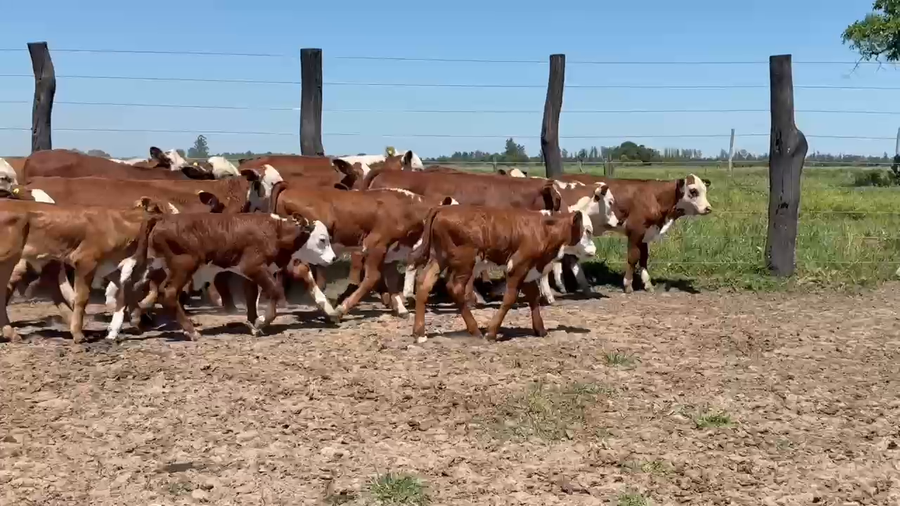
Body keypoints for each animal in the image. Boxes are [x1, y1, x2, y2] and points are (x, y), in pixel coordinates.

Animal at [135, 213, 336, 341]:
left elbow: (254, 297)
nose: (333, 258)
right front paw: (261, 322)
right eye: (322, 239)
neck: (276, 231)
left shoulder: (253, 273)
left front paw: (254, 324)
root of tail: (162, 218)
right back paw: (191, 331)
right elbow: (275, 291)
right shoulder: (253, 266)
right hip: (183, 266)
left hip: (156, 266)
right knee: (169, 293)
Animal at [411, 206, 587, 342]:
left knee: (424, 283)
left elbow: (534, 297)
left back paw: (419, 333)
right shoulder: (518, 266)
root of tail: (442, 209)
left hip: (439, 258)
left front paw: (540, 330)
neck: (545, 230)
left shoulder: (529, 269)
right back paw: (475, 330)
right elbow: (510, 298)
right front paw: (492, 332)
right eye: (585, 230)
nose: (592, 248)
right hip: (465, 262)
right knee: (455, 288)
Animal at [560, 173, 712, 293]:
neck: (655, 197)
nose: (708, 208)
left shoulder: (646, 234)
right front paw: (628, 284)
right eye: (693, 191)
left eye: (705, 190)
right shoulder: (635, 231)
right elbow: (633, 258)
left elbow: (644, 258)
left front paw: (648, 284)